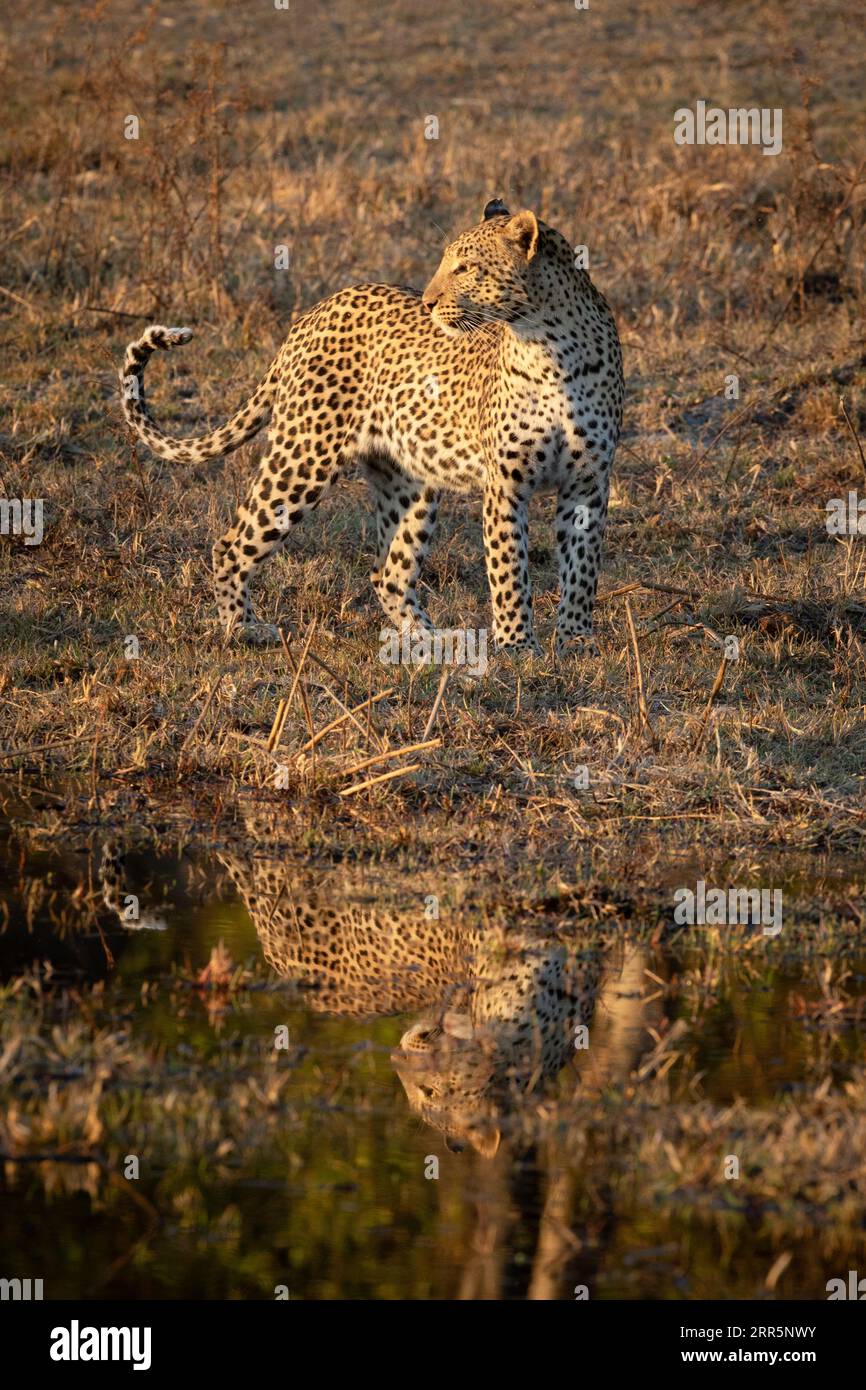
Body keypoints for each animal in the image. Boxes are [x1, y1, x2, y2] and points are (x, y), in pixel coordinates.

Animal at [119, 199, 623, 660]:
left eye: (465, 267)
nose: (429, 303)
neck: (548, 346)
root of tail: (311, 315)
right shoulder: (506, 484)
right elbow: (509, 570)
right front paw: (518, 646)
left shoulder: (588, 483)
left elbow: (581, 568)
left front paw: (577, 640)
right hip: (302, 458)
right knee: (232, 543)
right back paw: (243, 628)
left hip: (411, 484)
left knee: (389, 574)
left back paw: (432, 642)